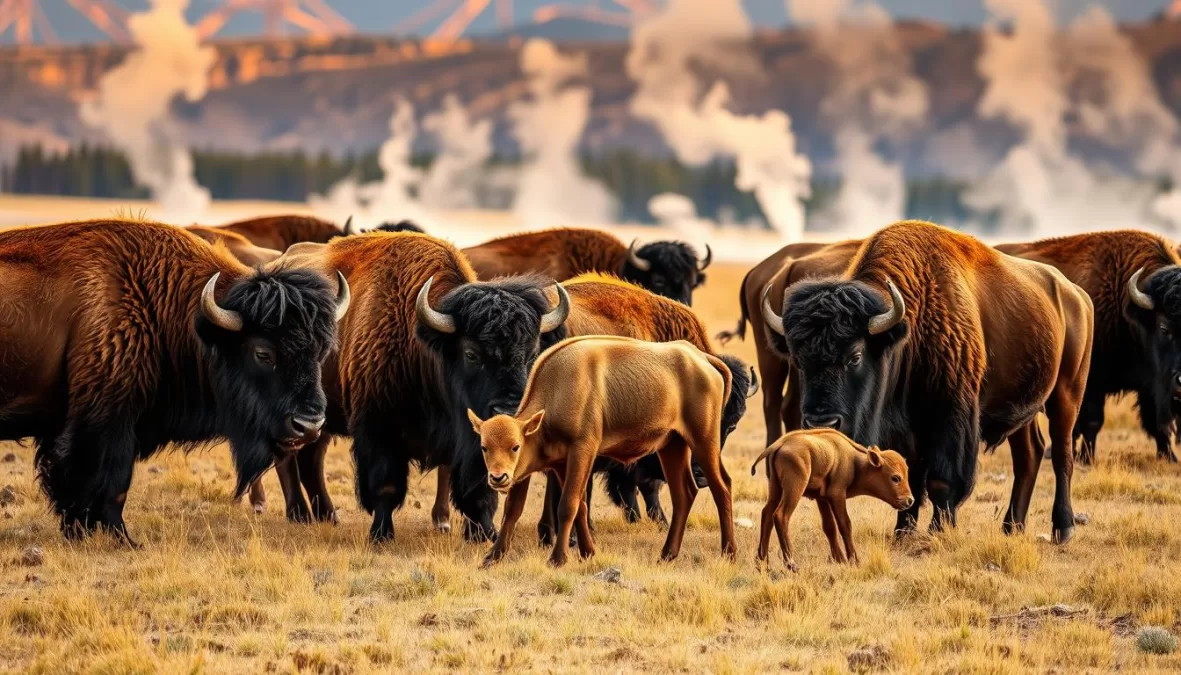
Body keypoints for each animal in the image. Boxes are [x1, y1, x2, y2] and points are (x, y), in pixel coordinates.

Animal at [0, 219, 349, 542]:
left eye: (321, 351)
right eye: (262, 353)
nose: (309, 425)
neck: (151, 299)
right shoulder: (106, 423)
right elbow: (110, 483)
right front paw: (122, 539)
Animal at [762, 221, 1093, 542]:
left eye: (855, 356)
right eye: (798, 359)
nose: (821, 422)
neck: (907, 331)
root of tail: (1077, 296)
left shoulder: (950, 418)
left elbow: (941, 480)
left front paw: (939, 530)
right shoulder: (906, 427)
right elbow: (906, 470)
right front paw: (902, 532)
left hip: (1067, 393)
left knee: (1061, 456)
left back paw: (1063, 529)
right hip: (1024, 409)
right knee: (1029, 455)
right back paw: (1012, 527)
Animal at [997, 231, 1181, 463]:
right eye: (1164, 328)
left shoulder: (1151, 386)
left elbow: (1158, 423)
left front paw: (1169, 457)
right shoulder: (1092, 383)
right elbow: (1092, 422)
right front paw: (1087, 457)